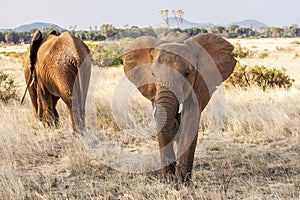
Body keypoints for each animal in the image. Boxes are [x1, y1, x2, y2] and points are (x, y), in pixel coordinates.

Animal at [122, 32, 237, 184]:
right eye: (153, 74)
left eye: (187, 74)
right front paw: (167, 180)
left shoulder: (199, 82)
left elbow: (190, 118)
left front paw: (181, 183)